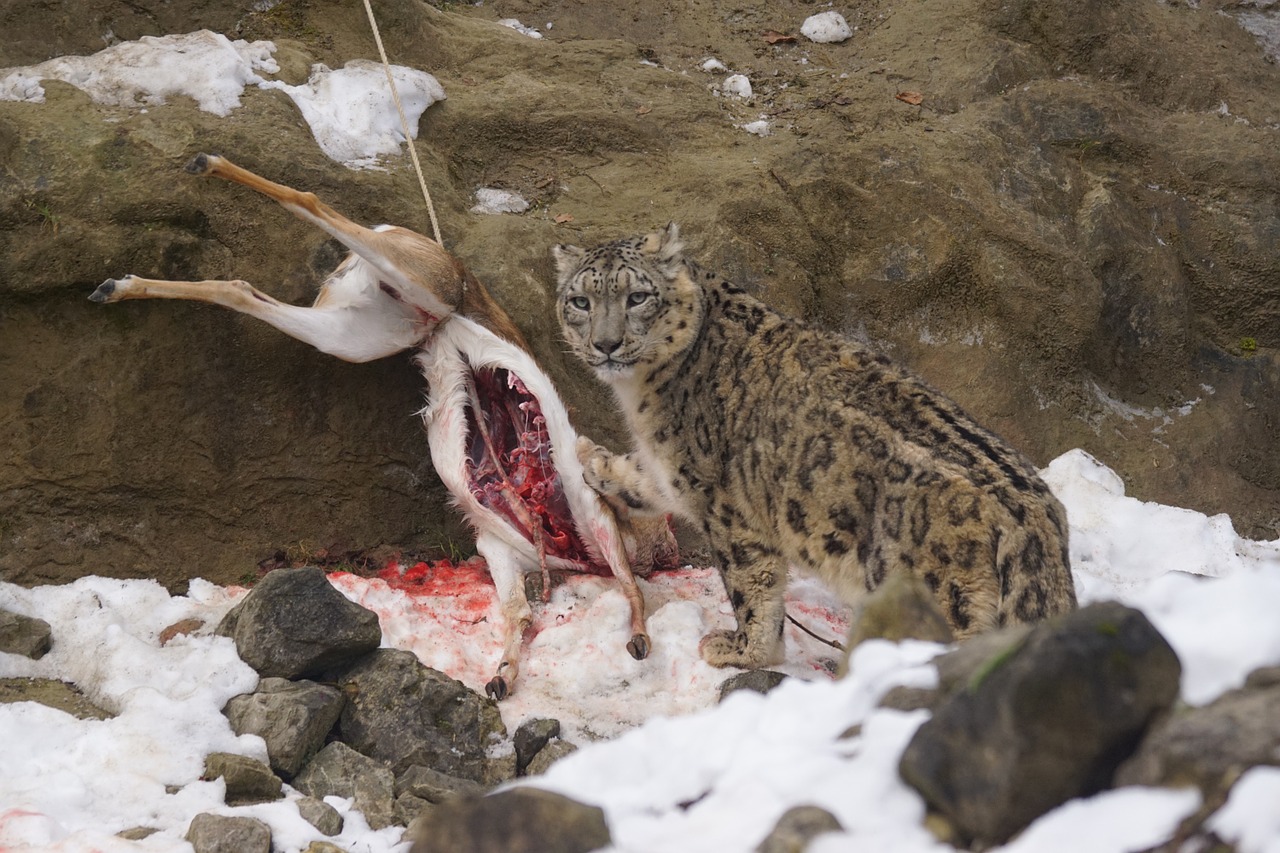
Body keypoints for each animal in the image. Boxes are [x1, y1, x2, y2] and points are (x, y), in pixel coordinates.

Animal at [555, 224, 1075, 666]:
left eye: (638, 296)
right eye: (580, 301)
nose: (605, 344)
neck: (644, 393)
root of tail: (1033, 517)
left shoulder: (728, 511)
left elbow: (751, 586)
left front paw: (743, 650)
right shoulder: (675, 471)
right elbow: (646, 480)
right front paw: (591, 461)